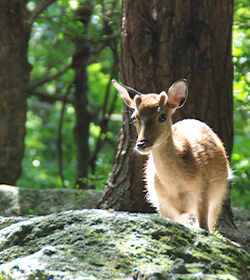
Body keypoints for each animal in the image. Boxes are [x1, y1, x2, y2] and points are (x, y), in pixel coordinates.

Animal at [113, 79, 230, 232]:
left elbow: (204, 228)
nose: (141, 144)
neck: (176, 187)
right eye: (134, 118)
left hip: (218, 197)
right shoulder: (162, 202)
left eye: (163, 116)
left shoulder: (203, 192)